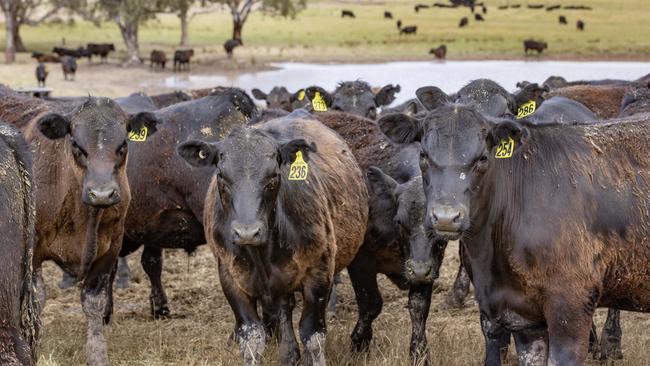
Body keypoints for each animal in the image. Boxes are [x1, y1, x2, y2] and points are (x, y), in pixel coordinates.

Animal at [0, 86, 158, 366]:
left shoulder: (111, 248)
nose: (102, 193)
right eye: (76, 144)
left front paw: (97, 354)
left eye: (123, 144)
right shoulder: (34, 253)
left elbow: (94, 302)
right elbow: (37, 300)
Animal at [176, 115, 370, 366]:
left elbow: (312, 334)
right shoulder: (230, 276)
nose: (247, 233)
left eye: (273, 177)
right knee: (284, 309)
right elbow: (252, 336)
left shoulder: (319, 271)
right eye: (221, 176)